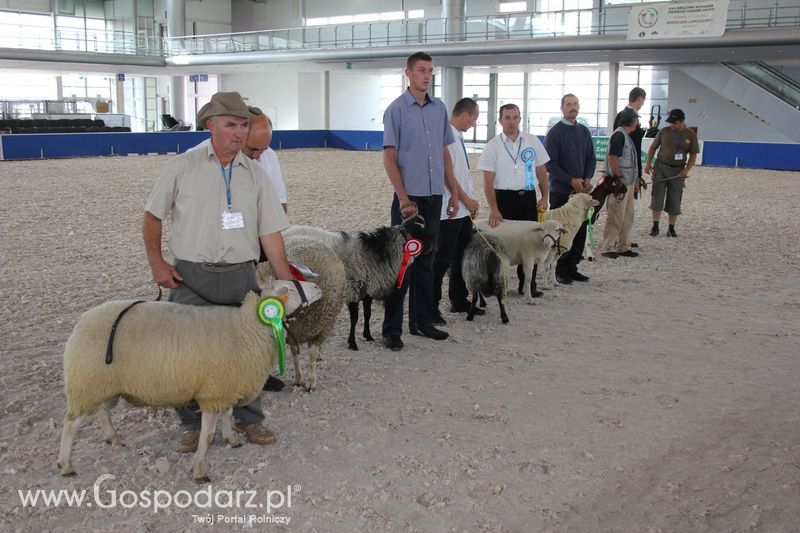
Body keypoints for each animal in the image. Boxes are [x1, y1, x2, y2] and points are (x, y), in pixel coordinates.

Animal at [57, 278, 322, 482]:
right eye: (287, 288)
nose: (318, 287)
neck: (247, 326)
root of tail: (82, 321)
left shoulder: (224, 387)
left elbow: (228, 415)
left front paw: (232, 440)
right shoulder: (213, 393)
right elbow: (207, 436)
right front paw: (199, 471)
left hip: (104, 384)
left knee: (102, 411)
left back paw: (113, 437)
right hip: (87, 383)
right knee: (71, 423)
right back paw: (66, 464)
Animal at [256, 237, 344, 390]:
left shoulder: (320, 330)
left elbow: (312, 355)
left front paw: (311, 381)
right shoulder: (293, 334)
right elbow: (294, 354)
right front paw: (298, 378)